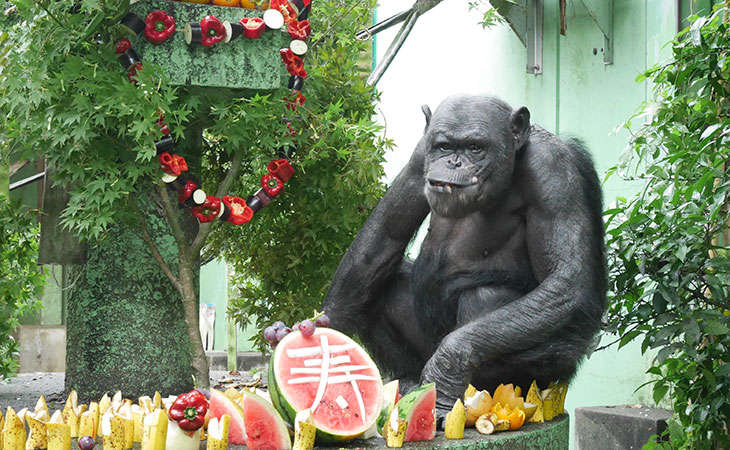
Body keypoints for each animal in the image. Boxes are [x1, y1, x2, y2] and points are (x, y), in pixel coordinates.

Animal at [322, 93, 604, 420]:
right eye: (445, 146)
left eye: (475, 147)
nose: (453, 162)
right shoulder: (420, 155)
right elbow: (384, 238)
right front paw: (322, 336)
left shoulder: (552, 171)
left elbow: (564, 278)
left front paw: (447, 370)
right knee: (382, 286)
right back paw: (406, 381)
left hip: (550, 368)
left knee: (487, 296)